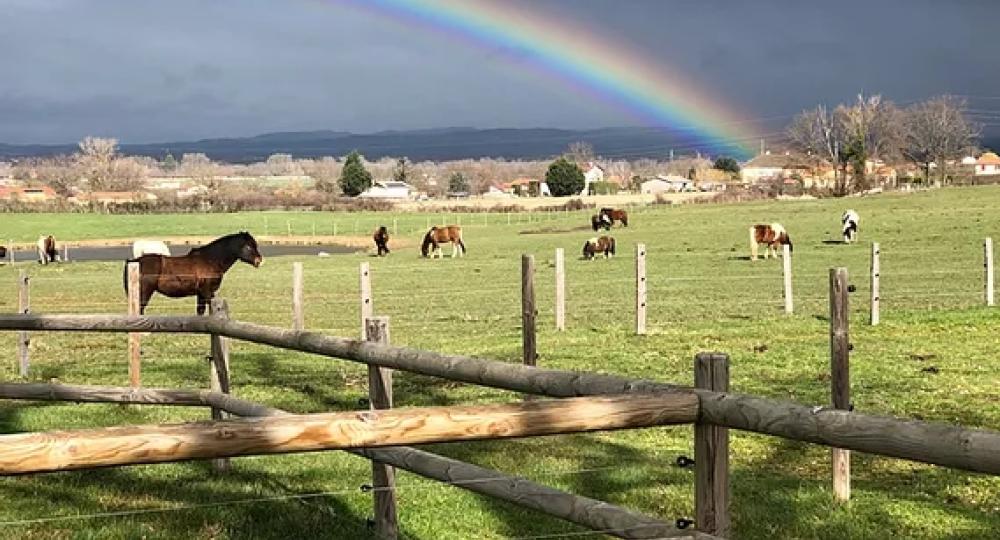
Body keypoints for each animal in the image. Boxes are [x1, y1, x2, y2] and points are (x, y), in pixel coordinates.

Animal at [124, 230, 262, 314]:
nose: (259, 260)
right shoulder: (207, 292)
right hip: (144, 292)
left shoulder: (200, 294)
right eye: (248, 246)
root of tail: (133, 261)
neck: (210, 260)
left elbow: (200, 311)